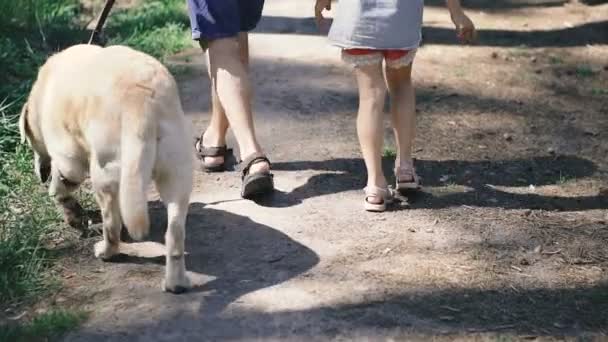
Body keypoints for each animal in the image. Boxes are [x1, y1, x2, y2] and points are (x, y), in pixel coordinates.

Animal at [20, 43, 192, 294]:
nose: (38, 173)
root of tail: (142, 101)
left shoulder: (67, 158)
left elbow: (62, 187)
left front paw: (70, 212)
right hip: (176, 173)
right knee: (175, 233)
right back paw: (176, 282)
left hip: (103, 174)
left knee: (111, 223)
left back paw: (106, 251)